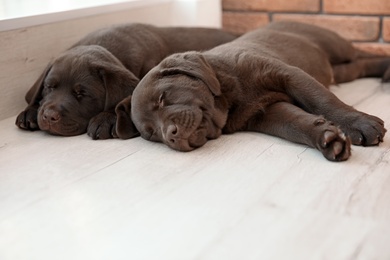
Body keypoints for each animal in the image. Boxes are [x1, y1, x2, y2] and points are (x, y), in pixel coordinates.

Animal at [117, 21, 388, 160]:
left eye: (162, 98)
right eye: (152, 134)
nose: (171, 135)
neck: (231, 95)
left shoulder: (289, 74)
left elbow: (323, 100)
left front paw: (360, 124)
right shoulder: (267, 112)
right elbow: (296, 124)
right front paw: (328, 139)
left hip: (336, 46)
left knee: (363, 53)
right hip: (340, 69)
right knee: (361, 65)